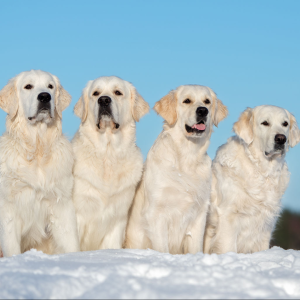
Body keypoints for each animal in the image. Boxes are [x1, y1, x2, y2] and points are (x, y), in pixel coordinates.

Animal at [0, 70, 79, 258]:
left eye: (50, 86)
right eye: (28, 86)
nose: (44, 96)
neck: (37, 150)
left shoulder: (61, 204)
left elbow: (71, 242)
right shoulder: (8, 209)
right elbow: (12, 247)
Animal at [71, 75, 149, 251]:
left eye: (118, 92)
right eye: (95, 93)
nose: (104, 100)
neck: (108, 153)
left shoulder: (117, 219)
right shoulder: (77, 213)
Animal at [126, 85, 227, 254]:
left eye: (207, 101)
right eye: (187, 101)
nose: (203, 110)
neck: (186, 157)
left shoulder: (199, 214)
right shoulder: (156, 213)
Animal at [204, 105, 300, 253]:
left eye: (285, 124)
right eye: (265, 123)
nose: (281, 139)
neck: (262, 171)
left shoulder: (265, 224)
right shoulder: (228, 217)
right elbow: (228, 247)